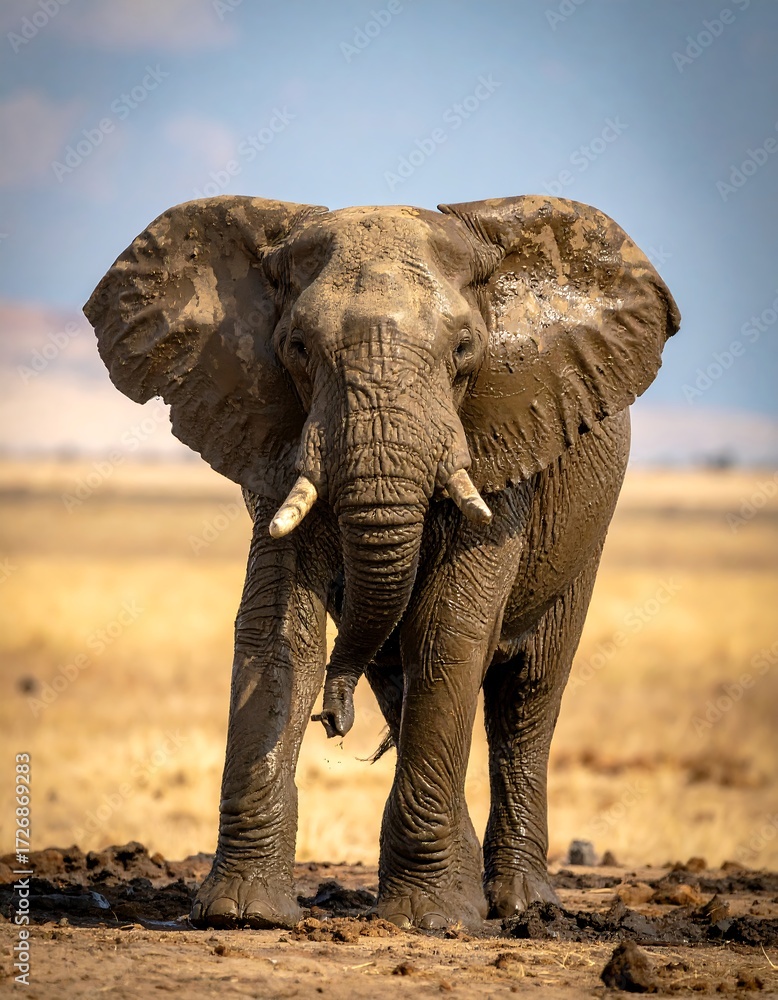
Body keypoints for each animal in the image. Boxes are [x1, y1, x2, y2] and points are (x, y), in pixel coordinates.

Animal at [84, 193, 680, 931]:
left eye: (465, 349)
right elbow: (280, 632)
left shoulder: (503, 433)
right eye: (297, 348)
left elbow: (450, 629)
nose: (334, 722)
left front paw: (429, 920)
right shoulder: (276, 433)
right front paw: (243, 915)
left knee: (528, 694)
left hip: (586, 533)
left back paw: (520, 903)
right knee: (402, 682)